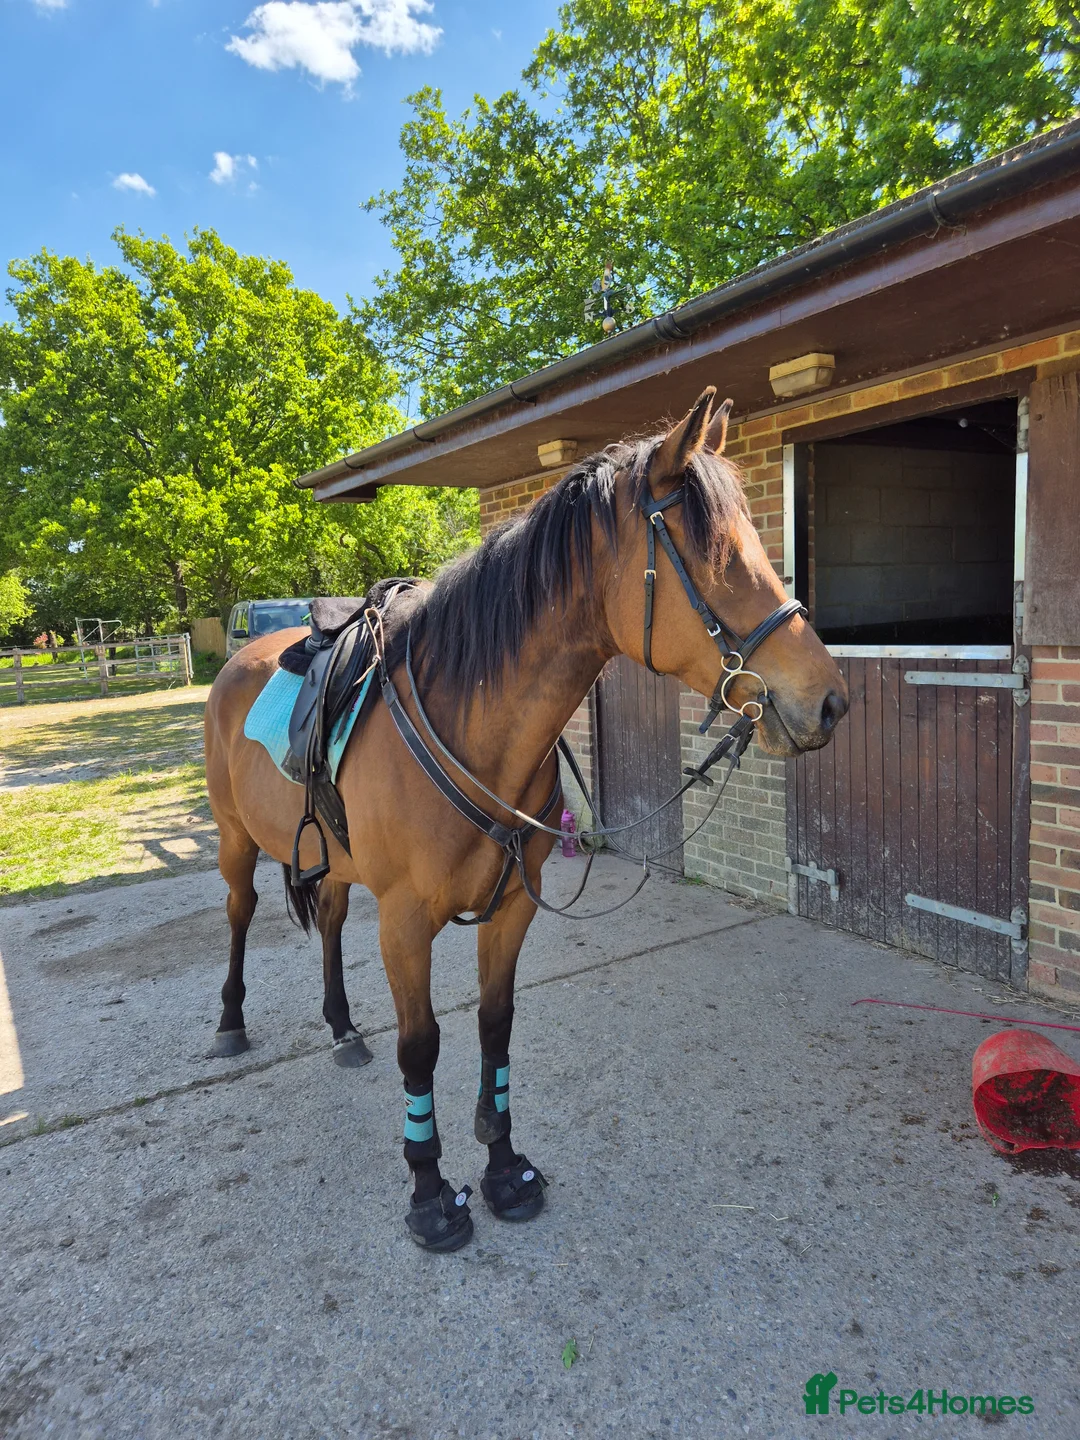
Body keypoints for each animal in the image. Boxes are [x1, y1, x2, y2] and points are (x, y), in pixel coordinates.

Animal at [203, 388, 848, 1252]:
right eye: (716, 556)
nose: (829, 700)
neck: (471, 721)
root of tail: (238, 660)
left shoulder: (510, 908)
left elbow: (495, 1026)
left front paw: (504, 1168)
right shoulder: (405, 920)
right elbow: (421, 1047)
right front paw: (430, 1194)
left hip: (332, 861)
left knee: (331, 920)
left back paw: (341, 1029)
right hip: (234, 840)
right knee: (239, 914)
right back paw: (230, 1022)